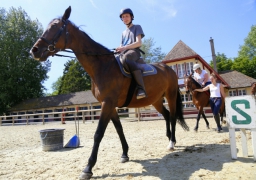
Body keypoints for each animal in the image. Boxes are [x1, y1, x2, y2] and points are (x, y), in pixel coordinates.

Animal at [30, 6, 190, 179]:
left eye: (55, 27)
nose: (34, 50)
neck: (103, 66)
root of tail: (169, 69)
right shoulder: (109, 105)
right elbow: (119, 129)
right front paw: (125, 154)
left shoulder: (107, 103)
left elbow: (98, 133)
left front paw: (88, 168)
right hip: (156, 100)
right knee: (166, 115)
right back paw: (169, 139)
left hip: (171, 96)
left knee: (172, 116)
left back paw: (172, 142)